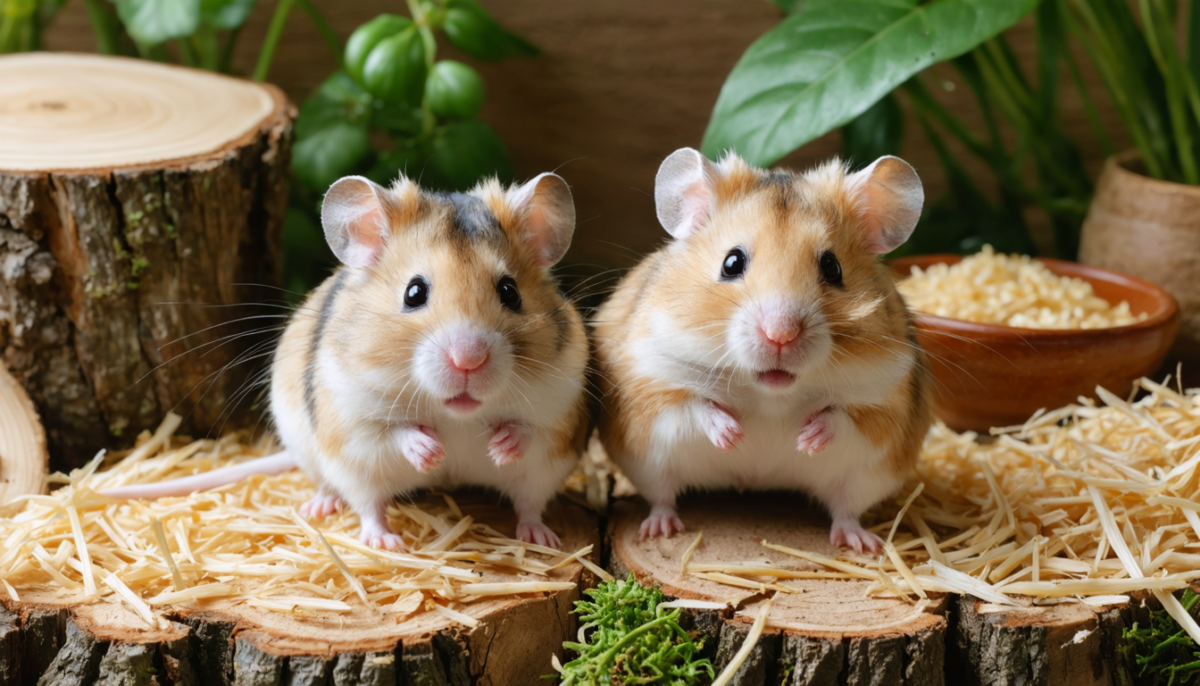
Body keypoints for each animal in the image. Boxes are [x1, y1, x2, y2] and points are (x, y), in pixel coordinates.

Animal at [103, 172, 591, 551]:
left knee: (529, 504)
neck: (456, 413)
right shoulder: (355, 426)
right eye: (414, 292)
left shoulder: (560, 419)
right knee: (363, 501)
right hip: (325, 455)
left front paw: (499, 444)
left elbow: (528, 433)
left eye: (510, 292)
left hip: (541, 476)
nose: (467, 359)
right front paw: (431, 450)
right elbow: (393, 433)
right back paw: (364, 531)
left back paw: (543, 539)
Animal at [593, 148, 932, 554]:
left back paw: (861, 543)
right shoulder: (650, 384)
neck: (770, 392)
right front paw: (733, 436)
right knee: (662, 497)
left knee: (846, 510)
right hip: (650, 467)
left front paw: (806, 439)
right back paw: (659, 529)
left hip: (864, 481)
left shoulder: (885, 404)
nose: (780, 334)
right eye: (731, 263)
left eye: (832, 267)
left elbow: (840, 416)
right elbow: (696, 406)